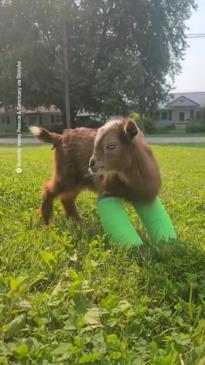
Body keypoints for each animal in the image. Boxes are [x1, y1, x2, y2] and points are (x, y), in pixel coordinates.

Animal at [30, 118, 162, 223]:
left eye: (111, 145)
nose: (91, 163)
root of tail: (60, 137)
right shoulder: (106, 189)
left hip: (79, 180)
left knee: (67, 198)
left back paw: (77, 221)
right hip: (65, 173)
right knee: (49, 189)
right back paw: (45, 219)